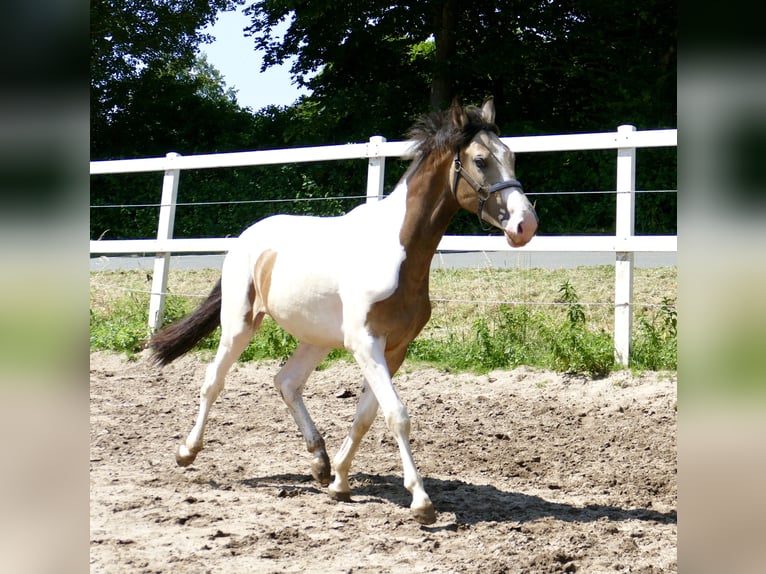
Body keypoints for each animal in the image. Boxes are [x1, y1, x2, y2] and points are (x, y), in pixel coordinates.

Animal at [148, 97, 538, 525]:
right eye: (481, 160)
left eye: (512, 156)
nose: (526, 225)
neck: (395, 251)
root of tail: (246, 237)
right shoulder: (365, 343)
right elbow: (397, 414)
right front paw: (420, 501)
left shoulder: (393, 349)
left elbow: (366, 416)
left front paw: (339, 482)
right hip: (239, 323)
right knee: (213, 381)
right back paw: (187, 452)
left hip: (316, 337)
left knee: (286, 381)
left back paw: (319, 463)